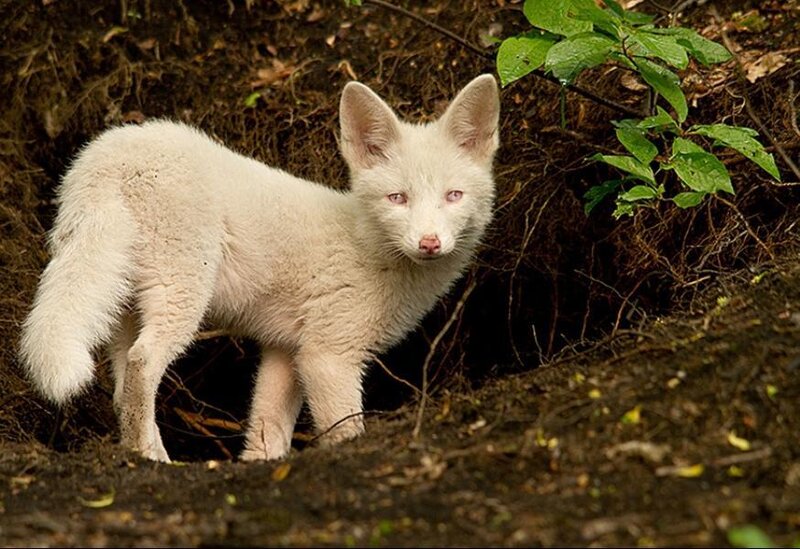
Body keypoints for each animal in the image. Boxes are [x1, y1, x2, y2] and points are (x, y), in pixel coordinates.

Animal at [18, 74, 500, 463]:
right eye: (397, 198)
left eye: (453, 196)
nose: (429, 243)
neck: (363, 245)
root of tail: (103, 155)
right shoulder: (328, 356)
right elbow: (345, 430)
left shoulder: (285, 353)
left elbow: (266, 437)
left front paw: (259, 466)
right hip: (183, 295)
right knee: (143, 365)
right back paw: (153, 460)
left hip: (126, 311)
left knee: (121, 390)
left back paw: (137, 454)